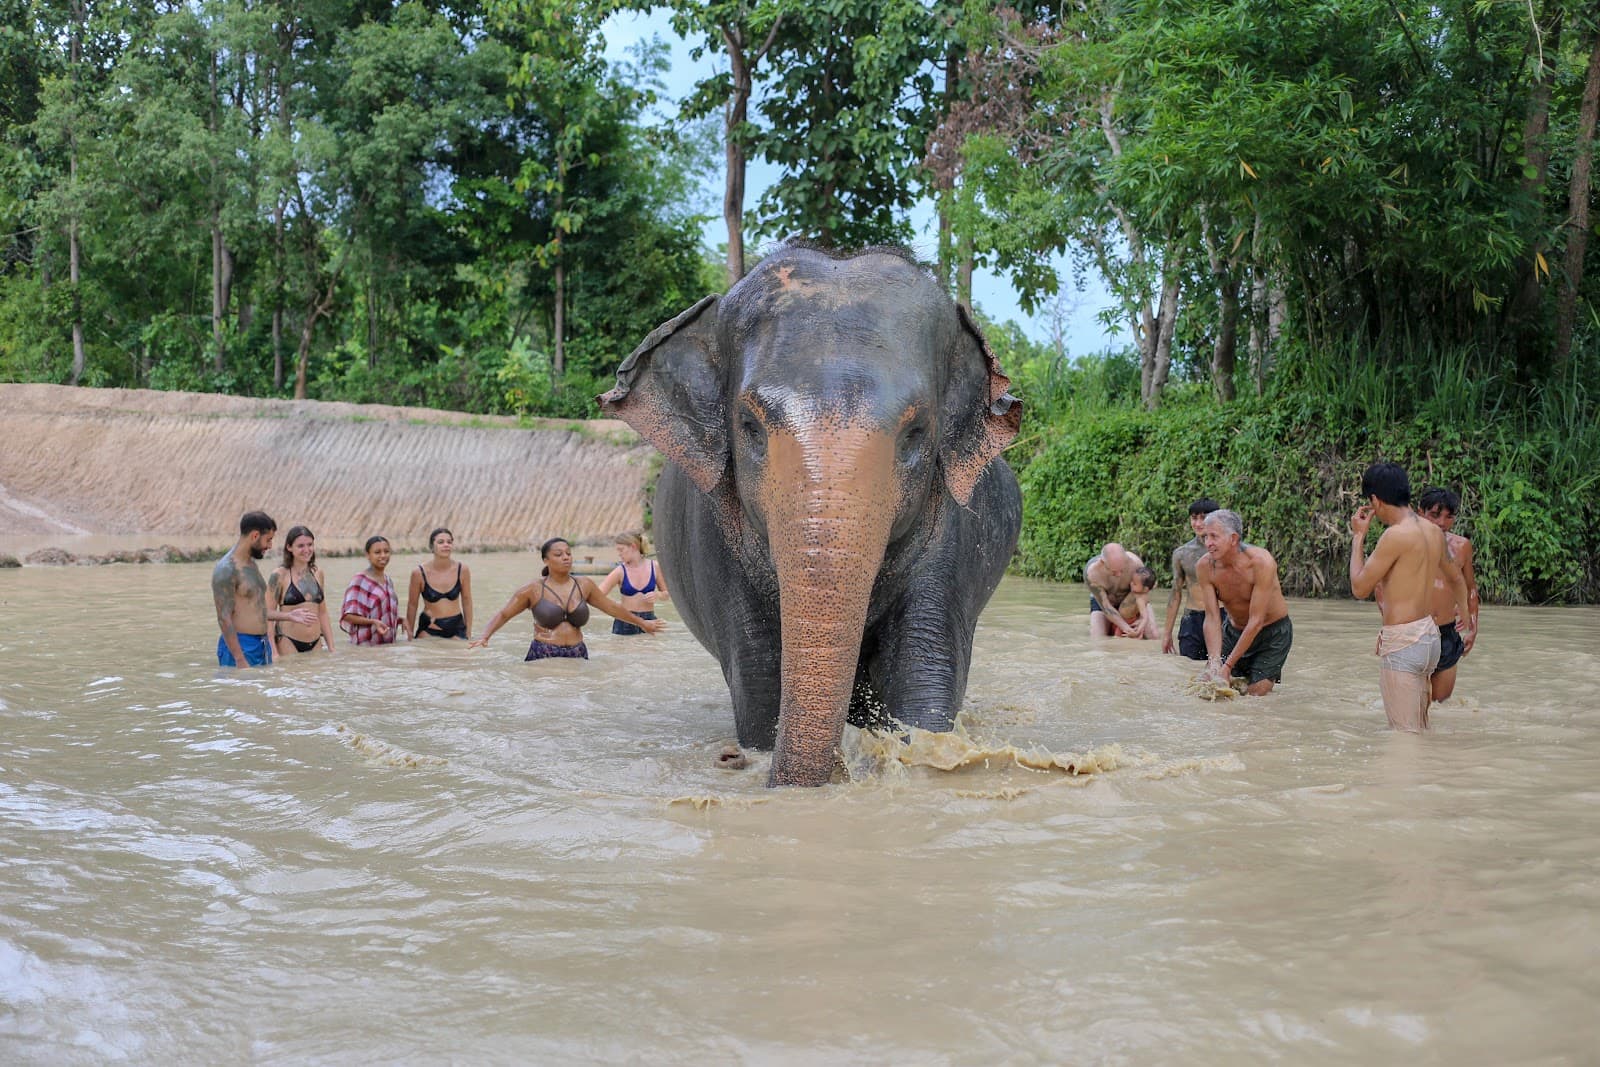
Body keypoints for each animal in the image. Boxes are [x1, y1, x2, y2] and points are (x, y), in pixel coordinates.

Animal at [598, 243, 1022, 787]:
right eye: (749, 426)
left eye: (916, 433)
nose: (730, 763)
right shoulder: (715, 543)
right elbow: (760, 681)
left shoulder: (951, 536)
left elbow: (922, 674)